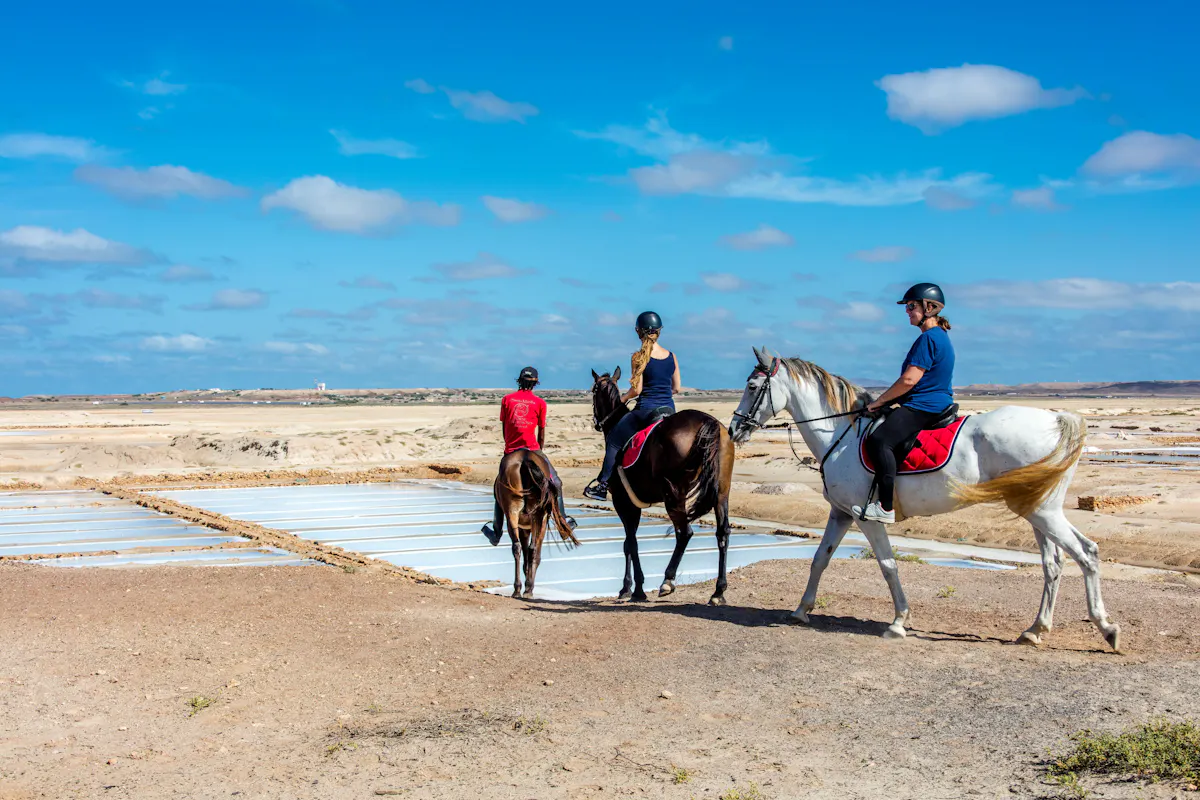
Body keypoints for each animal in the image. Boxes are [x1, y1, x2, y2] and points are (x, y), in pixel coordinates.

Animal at [493, 447, 580, 598]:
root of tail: (524, 458)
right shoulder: (540, 524)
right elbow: (535, 555)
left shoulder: (523, 528)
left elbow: (525, 553)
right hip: (538, 517)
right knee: (533, 550)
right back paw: (528, 588)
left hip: (512, 515)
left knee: (517, 548)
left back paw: (518, 589)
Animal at [590, 367, 736, 605]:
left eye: (593, 391)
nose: (596, 421)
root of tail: (709, 422)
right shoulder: (633, 504)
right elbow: (628, 544)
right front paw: (630, 588)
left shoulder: (623, 502)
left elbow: (630, 543)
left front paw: (634, 589)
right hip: (721, 493)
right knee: (722, 533)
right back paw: (718, 592)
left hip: (673, 493)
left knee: (684, 532)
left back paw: (668, 581)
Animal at [727, 347, 1120, 651]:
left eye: (752, 386)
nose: (734, 429)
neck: (841, 435)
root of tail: (1056, 418)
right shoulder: (840, 514)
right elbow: (819, 560)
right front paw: (800, 610)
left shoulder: (865, 517)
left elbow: (888, 565)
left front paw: (898, 622)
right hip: (1035, 509)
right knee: (1054, 563)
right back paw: (1035, 630)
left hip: (1042, 511)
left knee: (1086, 553)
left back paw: (1107, 629)